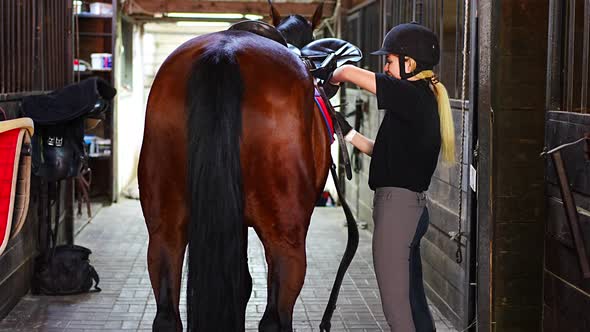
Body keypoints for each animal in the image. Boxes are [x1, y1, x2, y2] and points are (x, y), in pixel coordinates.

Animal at [139, 3, 332, 332]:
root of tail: (223, 55)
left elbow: (240, 284)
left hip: (164, 229)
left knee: (166, 316)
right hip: (286, 239)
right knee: (275, 319)